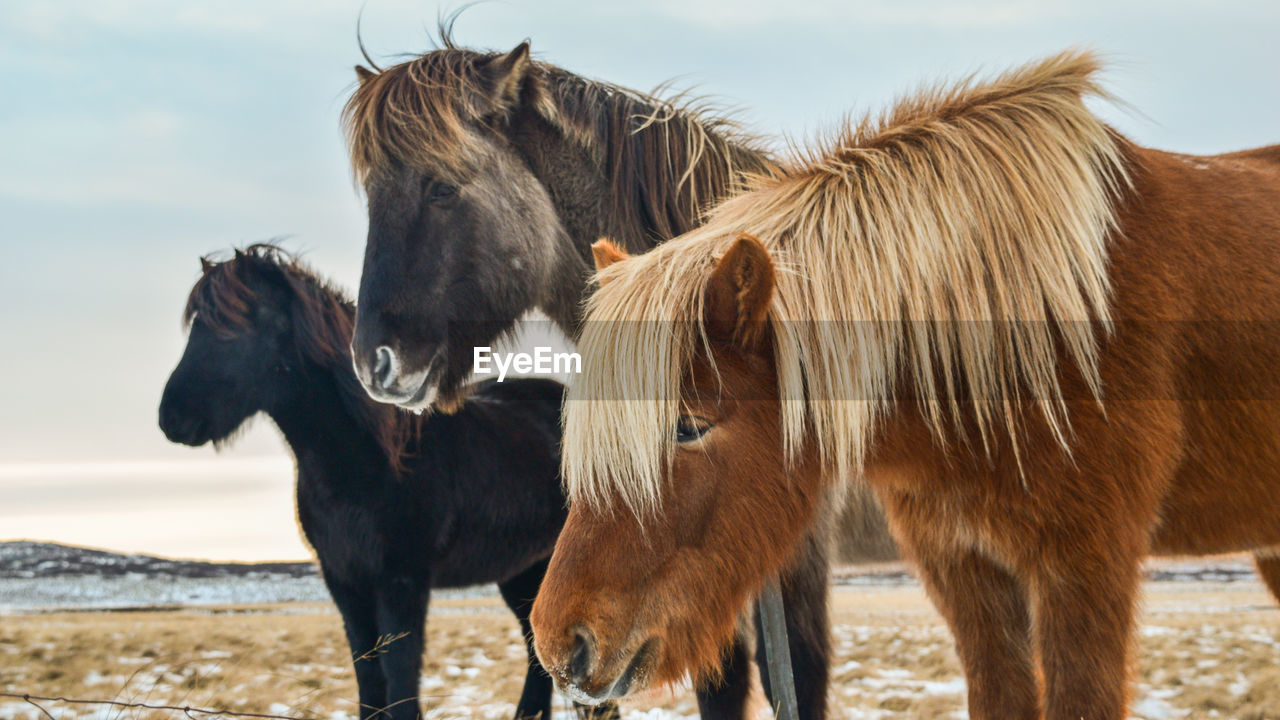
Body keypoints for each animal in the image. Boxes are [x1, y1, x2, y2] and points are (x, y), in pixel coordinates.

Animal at [158, 242, 609, 717]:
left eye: (246, 320)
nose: (173, 417)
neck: (369, 460)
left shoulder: (401, 583)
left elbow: (400, 678)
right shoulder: (345, 583)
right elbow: (368, 675)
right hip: (523, 568)